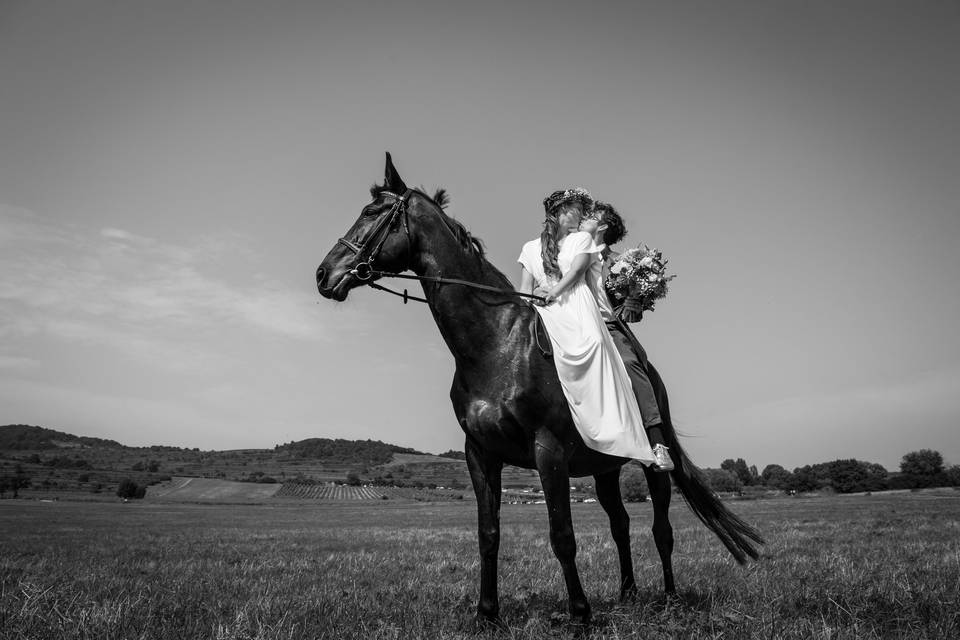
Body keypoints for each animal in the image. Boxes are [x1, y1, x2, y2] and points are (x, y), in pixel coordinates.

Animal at [316, 152, 764, 624]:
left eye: (371, 212)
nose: (324, 274)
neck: (498, 344)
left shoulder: (549, 451)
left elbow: (562, 534)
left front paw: (580, 614)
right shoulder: (480, 454)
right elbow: (489, 534)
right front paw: (487, 614)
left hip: (651, 466)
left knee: (662, 528)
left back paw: (670, 599)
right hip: (605, 467)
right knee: (620, 523)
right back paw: (628, 594)